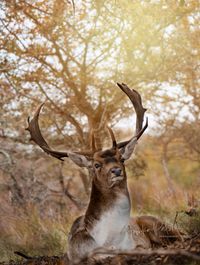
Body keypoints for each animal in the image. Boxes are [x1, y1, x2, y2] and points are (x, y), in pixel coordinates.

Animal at [25, 83, 180, 262]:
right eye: (96, 165)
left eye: (121, 159)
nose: (116, 170)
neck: (110, 239)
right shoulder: (76, 255)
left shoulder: (137, 244)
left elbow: (135, 249)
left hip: (159, 223)